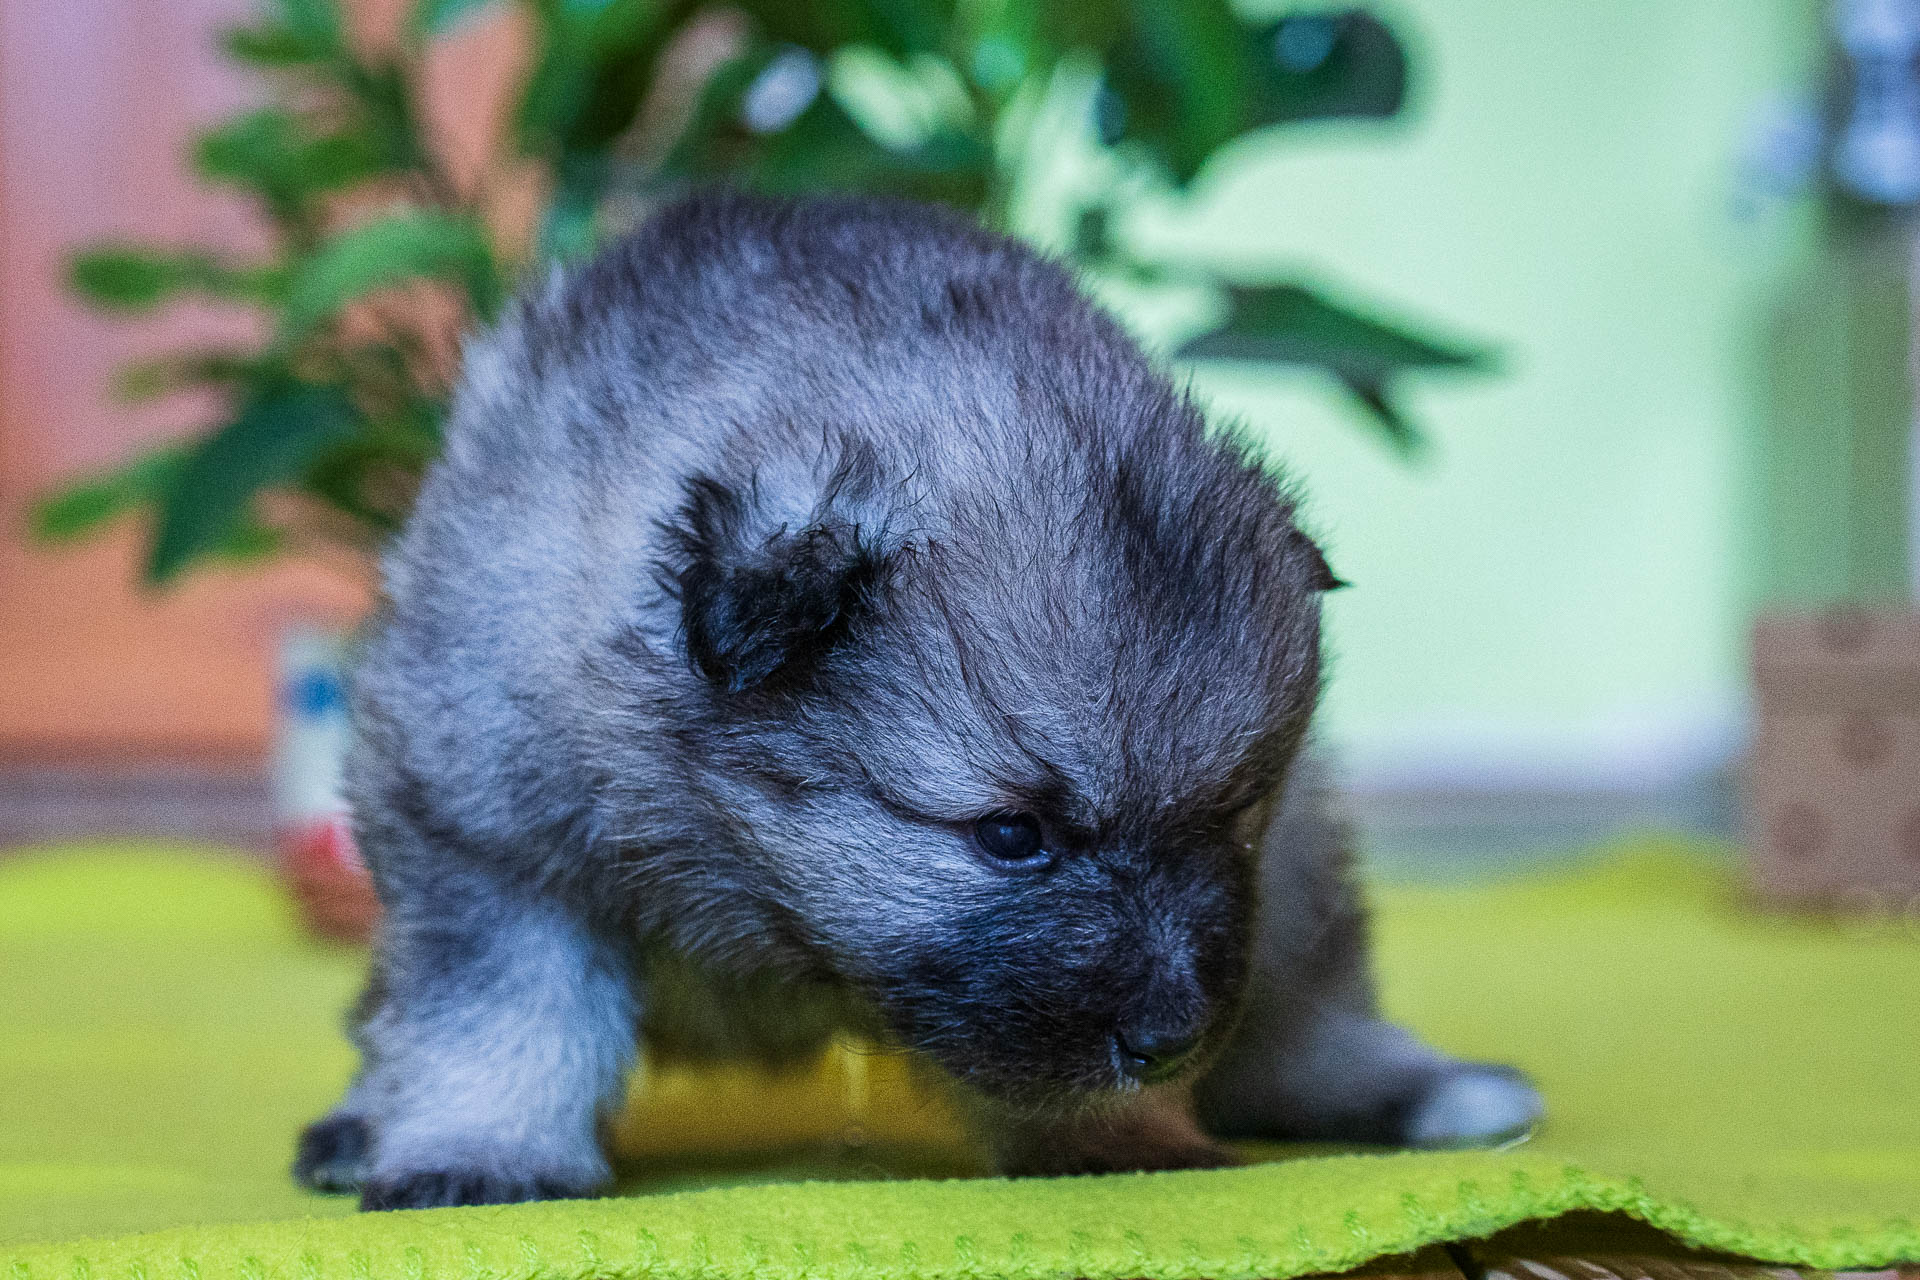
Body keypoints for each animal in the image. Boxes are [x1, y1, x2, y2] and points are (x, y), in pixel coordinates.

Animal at [295, 189, 1543, 1212]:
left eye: (1232, 813)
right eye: (1011, 833)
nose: (1168, 1038)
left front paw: (1124, 1138)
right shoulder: (492, 831)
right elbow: (505, 1006)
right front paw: (480, 1147)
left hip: (1295, 884)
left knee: (1309, 1012)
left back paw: (1428, 1090)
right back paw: (361, 1124)